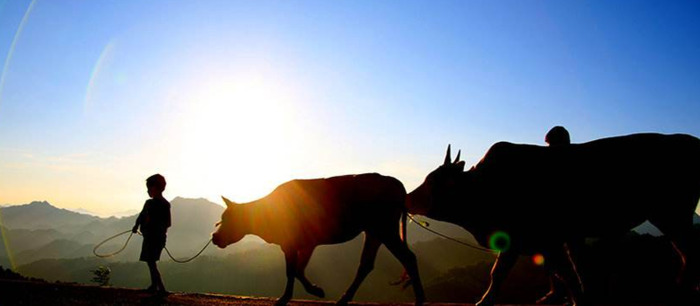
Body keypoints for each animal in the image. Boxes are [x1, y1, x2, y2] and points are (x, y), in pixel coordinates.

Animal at [211, 172, 424, 306]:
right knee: (366, 264)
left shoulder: (291, 243)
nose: (214, 237)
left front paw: (286, 297)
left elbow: (291, 271)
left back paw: (420, 299)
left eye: (227, 219)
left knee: (408, 257)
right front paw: (315, 290)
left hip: (385, 228)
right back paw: (344, 299)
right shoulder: (307, 244)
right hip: (373, 232)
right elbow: (298, 270)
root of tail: (397, 184)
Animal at [404, 134, 700, 306]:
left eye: (432, 181)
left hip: (671, 213)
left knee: (688, 252)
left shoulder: (537, 238)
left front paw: (484, 302)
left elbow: (502, 272)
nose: (406, 197)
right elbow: (562, 271)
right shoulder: (542, 242)